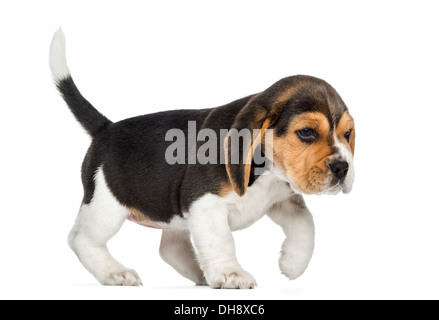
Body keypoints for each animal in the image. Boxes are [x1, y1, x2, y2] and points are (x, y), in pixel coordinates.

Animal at [49, 30, 356, 288]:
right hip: (106, 206)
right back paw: (115, 273)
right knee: (80, 239)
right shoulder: (205, 204)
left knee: (169, 248)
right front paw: (231, 275)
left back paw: (199, 273)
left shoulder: (281, 199)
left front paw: (293, 264)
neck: (269, 173)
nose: (342, 168)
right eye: (306, 133)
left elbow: (306, 224)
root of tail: (106, 128)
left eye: (348, 133)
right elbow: (221, 240)